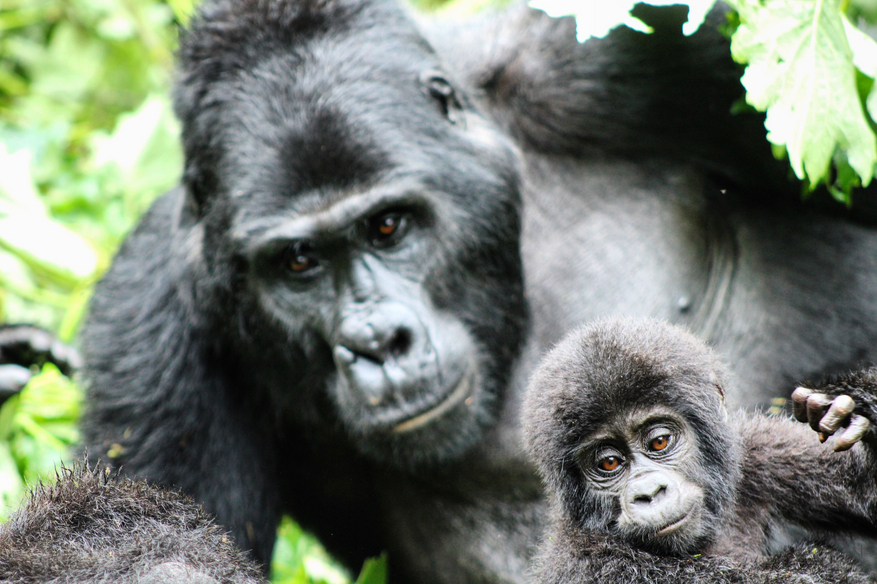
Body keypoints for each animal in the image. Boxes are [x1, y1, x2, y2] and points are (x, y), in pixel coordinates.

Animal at [524, 320, 876, 584]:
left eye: (659, 442)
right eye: (609, 462)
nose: (649, 493)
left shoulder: (753, 449)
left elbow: (863, 492)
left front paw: (856, 399)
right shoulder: (595, 564)